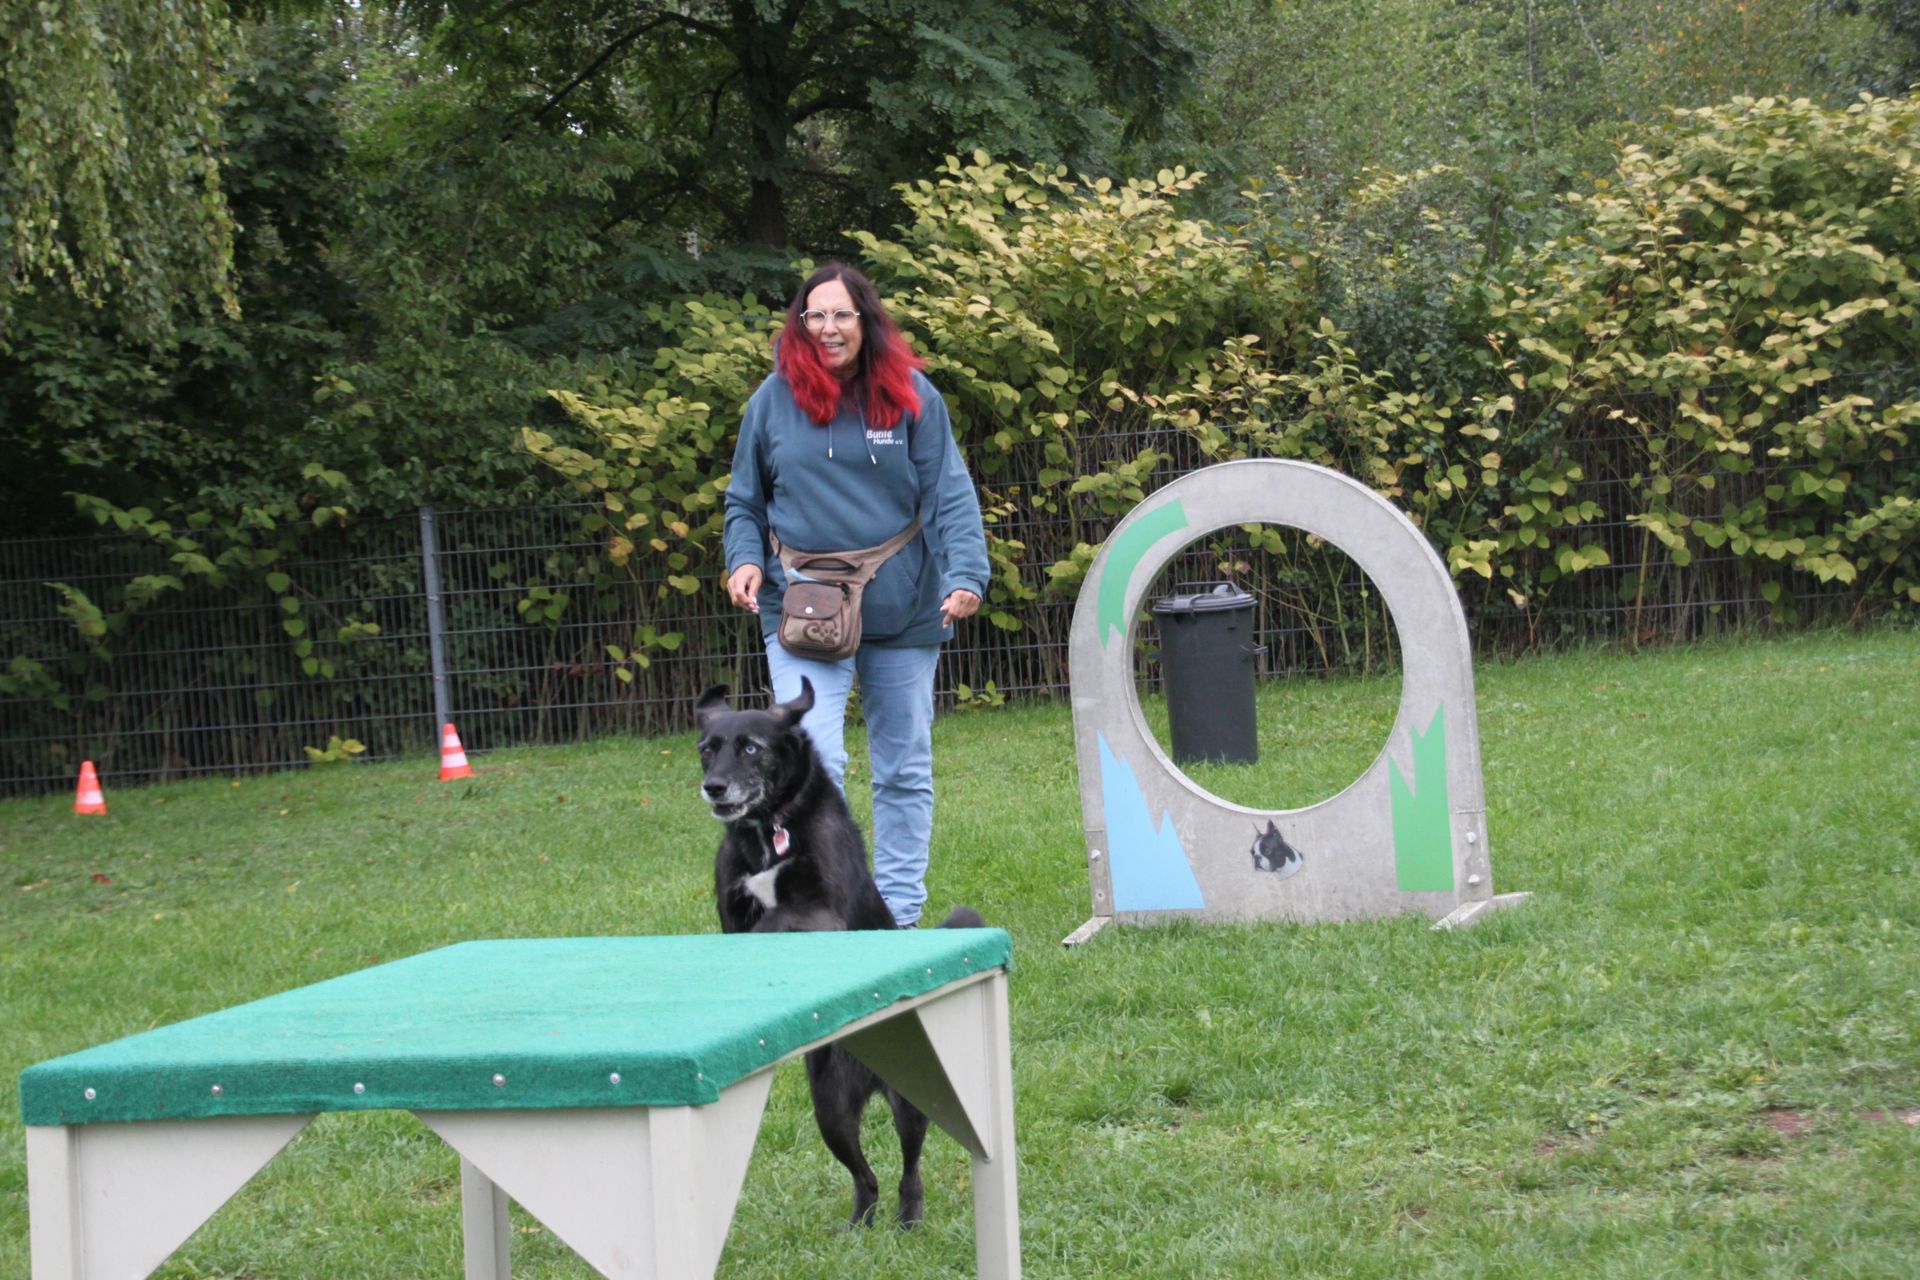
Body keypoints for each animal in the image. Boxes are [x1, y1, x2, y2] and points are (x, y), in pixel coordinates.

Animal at [694, 677, 984, 1228]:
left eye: (751, 747)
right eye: (707, 749)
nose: (714, 788)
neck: (770, 829)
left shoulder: (820, 915)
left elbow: (773, 922)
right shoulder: (731, 912)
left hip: (910, 1100)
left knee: (909, 1169)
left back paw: (909, 1221)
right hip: (830, 1108)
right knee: (865, 1178)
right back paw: (857, 1229)